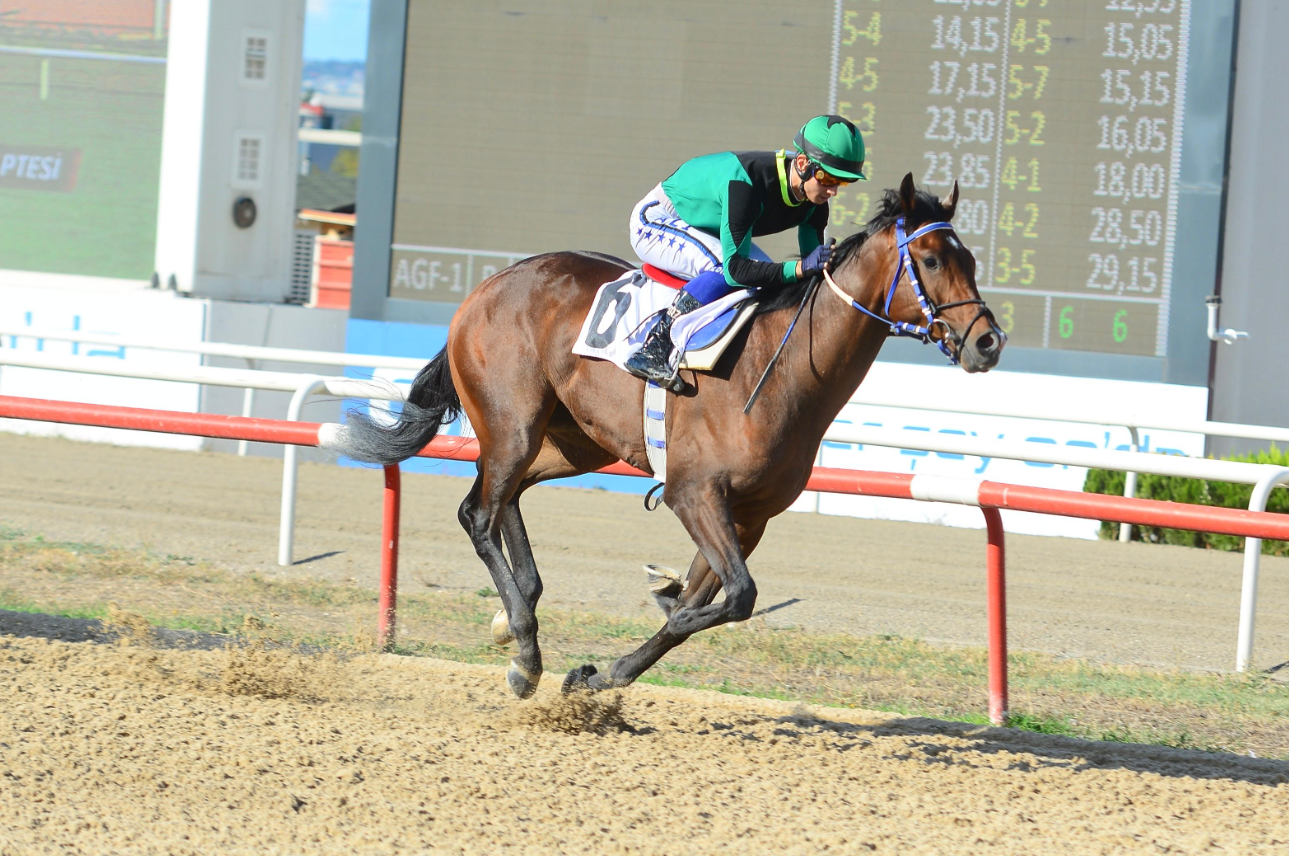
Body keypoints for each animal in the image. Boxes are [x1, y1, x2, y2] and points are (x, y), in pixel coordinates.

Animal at [332, 172, 1005, 696]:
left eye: (971, 260)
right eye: (932, 260)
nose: (988, 342)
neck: (782, 370)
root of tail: (487, 286)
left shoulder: (749, 515)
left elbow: (707, 601)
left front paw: (606, 673)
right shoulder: (695, 493)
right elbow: (733, 598)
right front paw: (615, 649)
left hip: (571, 442)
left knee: (506, 498)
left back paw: (518, 609)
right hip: (513, 422)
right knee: (478, 511)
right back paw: (524, 648)